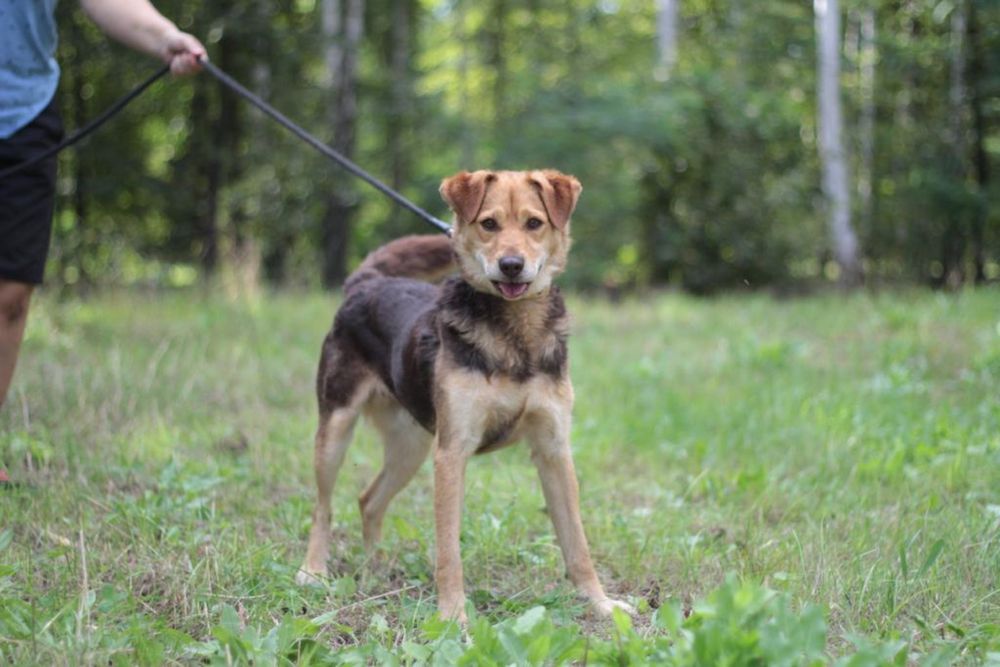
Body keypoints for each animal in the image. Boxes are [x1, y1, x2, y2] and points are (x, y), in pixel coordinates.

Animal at [296, 170, 636, 624]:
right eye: (489, 224)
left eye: (534, 223)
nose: (511, 265)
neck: (514, 335)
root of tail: (367, 282)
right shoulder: (452, 452)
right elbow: (448, 550)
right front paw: (453, 616)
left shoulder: (554, 449)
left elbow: (577, 544)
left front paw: (601, 604)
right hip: (336, 428)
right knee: (323, 506)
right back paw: (313, 570)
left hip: (411, 448)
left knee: (368, 500)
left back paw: (376, 568)